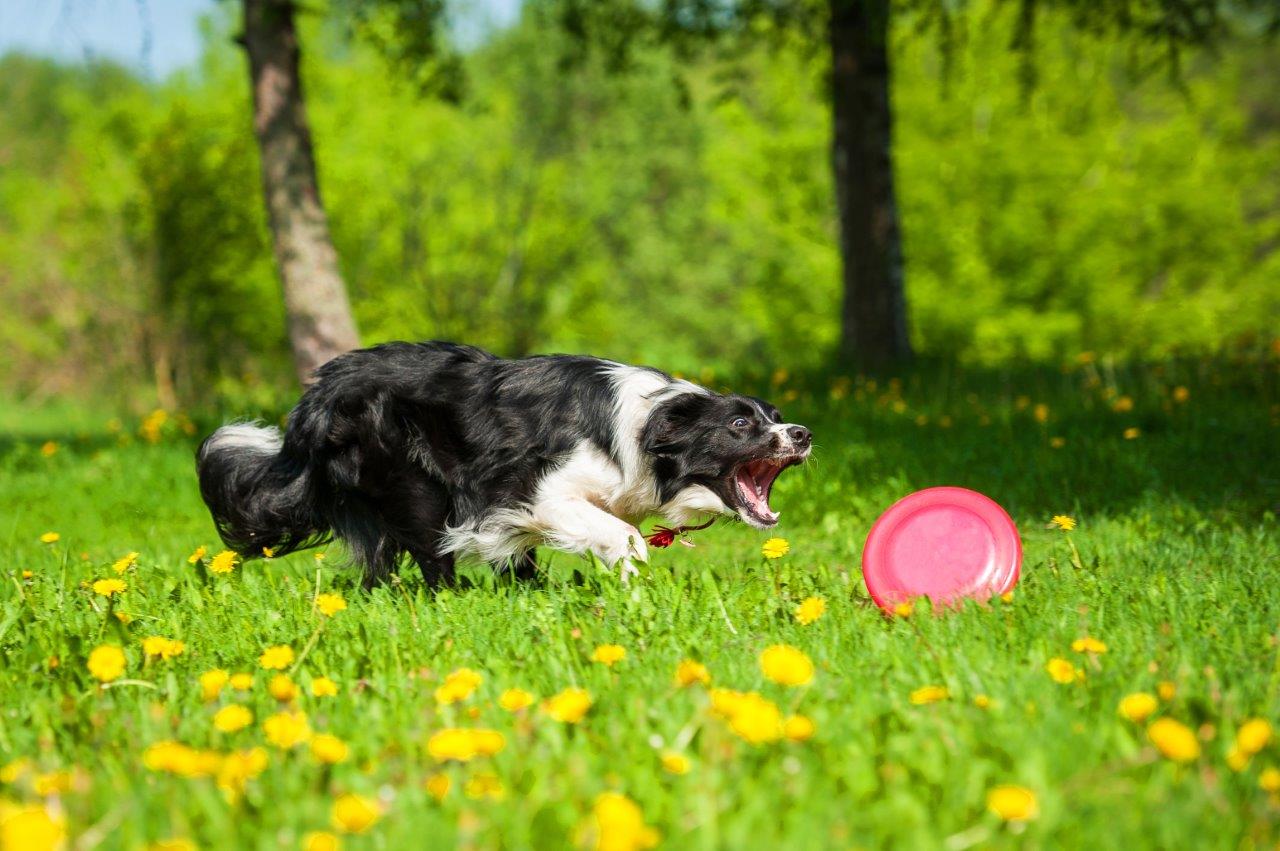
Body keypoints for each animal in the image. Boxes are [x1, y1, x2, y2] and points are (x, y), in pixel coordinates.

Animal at [195, 337, 814, 583]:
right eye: (740, 425)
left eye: (775, 414)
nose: (803, 433)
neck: (647, 426)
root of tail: (311, 402)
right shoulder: (536, 490)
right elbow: (623, 535)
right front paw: (630, 577)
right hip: (413, 485)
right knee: (432, 555)